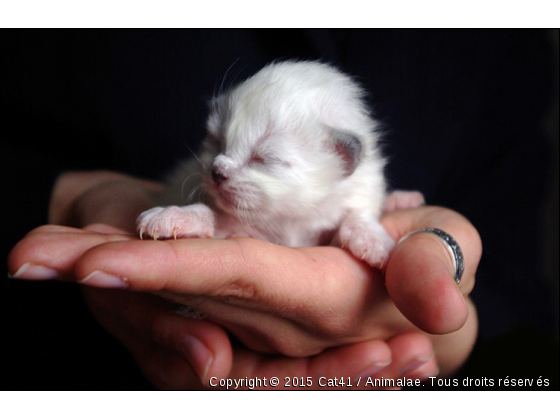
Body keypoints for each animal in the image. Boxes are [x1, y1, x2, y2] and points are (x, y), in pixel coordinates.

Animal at [138, 60, 422, 264]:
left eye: (263, 158)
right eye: (218, 143)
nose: (217, 172)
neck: (292, 220)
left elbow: (358, 212)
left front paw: (372, 240)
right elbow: (214, 216)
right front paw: (174, 216)